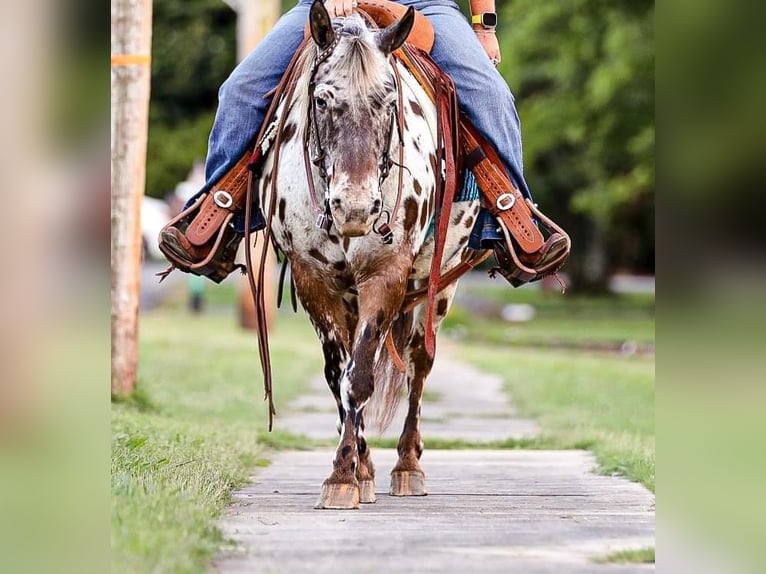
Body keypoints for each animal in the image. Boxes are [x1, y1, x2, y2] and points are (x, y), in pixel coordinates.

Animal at [260, 1, 484, 512]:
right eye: (322, 100)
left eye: (388, 102)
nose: (357, 208)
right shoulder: (314, 280)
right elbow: (338, 378)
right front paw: (355, 470)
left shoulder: (386, 275)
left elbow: (360, 377)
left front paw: (343, 475)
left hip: (440, 282)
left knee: (419, 363)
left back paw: (407, 465)